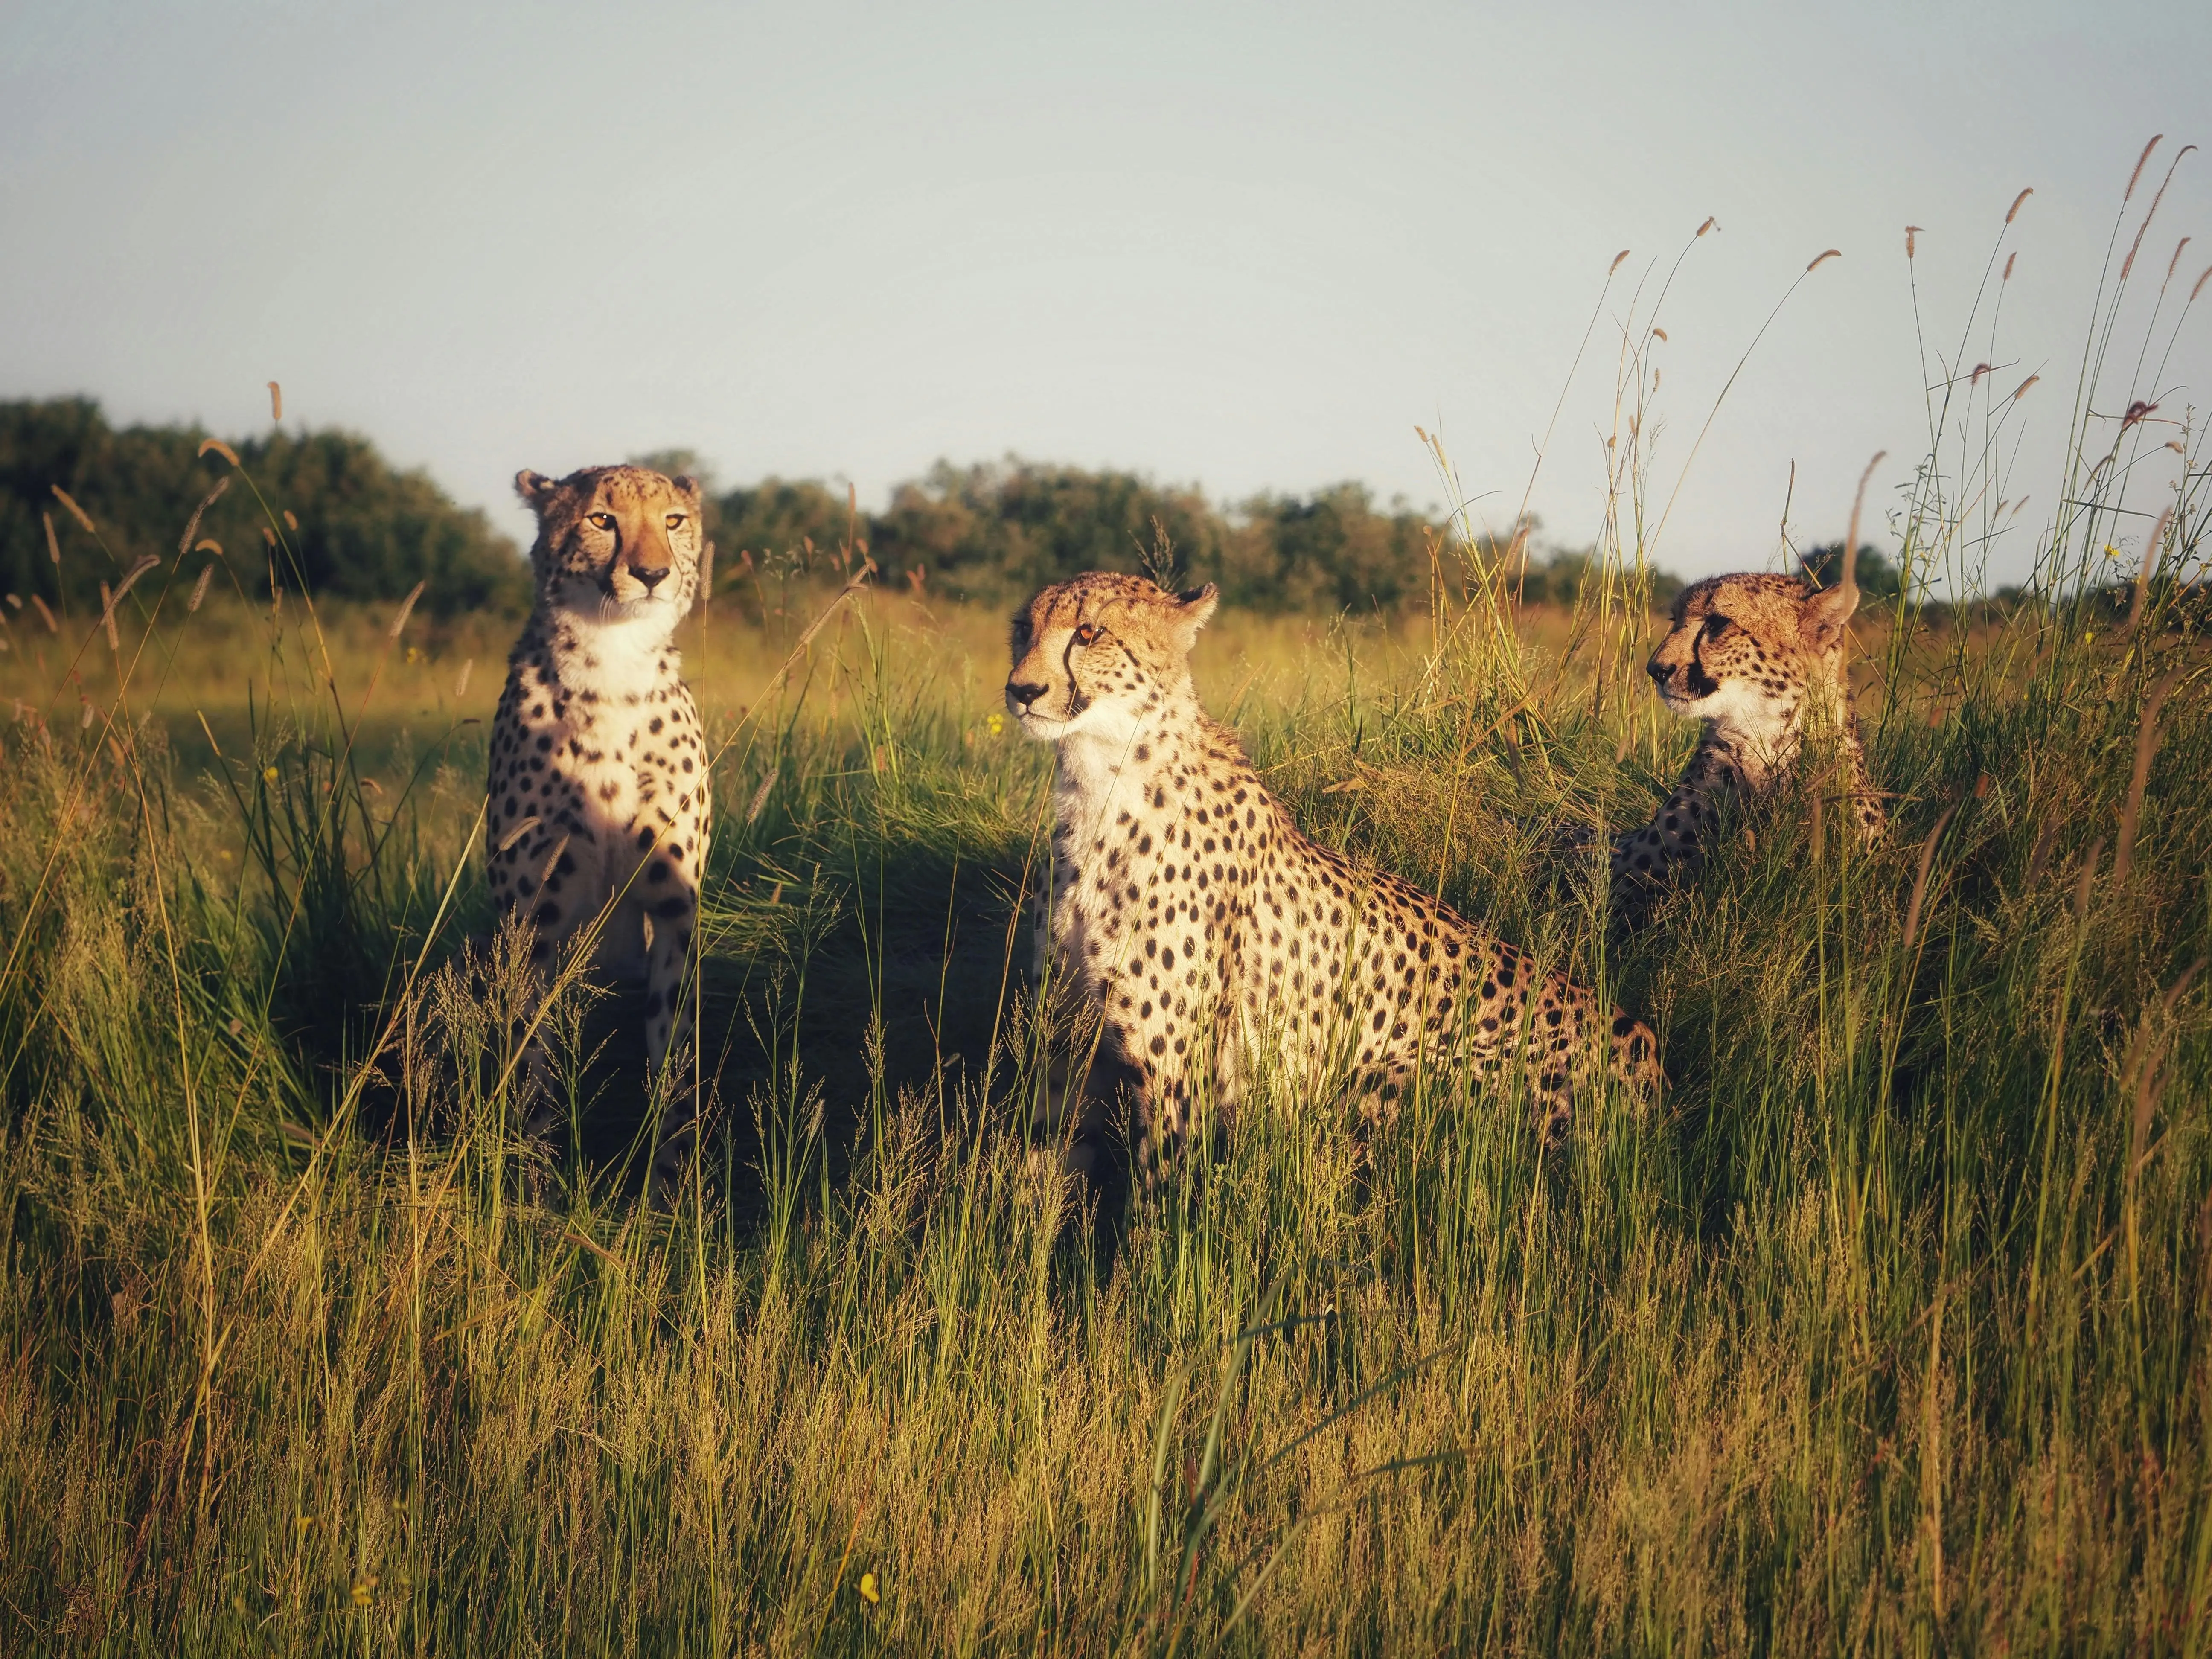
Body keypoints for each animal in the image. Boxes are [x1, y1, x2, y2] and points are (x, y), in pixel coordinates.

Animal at [489, 462, 712, 1203]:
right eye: (601, 520)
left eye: (672, 521)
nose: (652, 573)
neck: (613, 665)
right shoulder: (531, 923)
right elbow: (529, 1056)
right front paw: (531, 1188)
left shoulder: (674, 910)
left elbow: (674, 1053)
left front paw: (671, 1191)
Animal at [1004, 579, 1663, 1176]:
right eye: (1022, 629)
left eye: (1089, 632)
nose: (1021, 690)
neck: (1100, 779)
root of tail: (1646, 1044)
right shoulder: (1060, 1045)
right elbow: (1039, 1188)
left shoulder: (1175, 1080)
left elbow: (1154, 1213)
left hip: (1379, 1082)